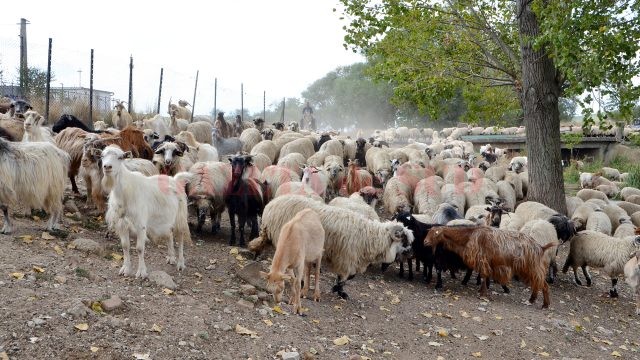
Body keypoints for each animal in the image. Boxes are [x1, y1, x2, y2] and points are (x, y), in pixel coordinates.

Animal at [102, 145, 190, 278]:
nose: (107, 166)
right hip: (165, 219)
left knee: (180, 237)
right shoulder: (122, 224)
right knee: (169, 234)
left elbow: (139, 248)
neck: (125, 191)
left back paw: (180, 263)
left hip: (180, 216)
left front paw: (141, 272)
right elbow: (125, 246)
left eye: (120, 157)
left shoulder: (140, 224)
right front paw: (125, 269)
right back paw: (171, 257)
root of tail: (174, 179)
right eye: (102, 156)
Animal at [424, 226, 556, 308]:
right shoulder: (488, 262)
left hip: (533, 267)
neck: (468, 236)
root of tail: (541, 247)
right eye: (428, 232)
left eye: (435, 234)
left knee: (543, 284)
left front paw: (483, 294)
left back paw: (544, 304)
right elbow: (486, 277)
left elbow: (483, 276)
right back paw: (532, 300)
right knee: (537, 283)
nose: (425, 242)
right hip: (528, 269)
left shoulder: (482, 260)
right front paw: (484, 291)